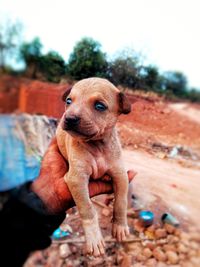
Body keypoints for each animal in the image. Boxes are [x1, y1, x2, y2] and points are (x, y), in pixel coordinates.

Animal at [55, 77, 131, 258]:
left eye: (99, 106)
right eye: (69, 101)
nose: (69, 118)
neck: (98, 146)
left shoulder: (120, 174)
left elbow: (121, 202)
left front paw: (120, 226)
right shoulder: (76, 178)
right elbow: (87, 208)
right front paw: (94, 238)